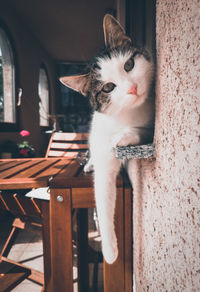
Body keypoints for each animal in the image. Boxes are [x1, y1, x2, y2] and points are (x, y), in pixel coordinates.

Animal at [59, 14, 155, 264]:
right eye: (108, 87)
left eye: (129, 65)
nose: (132, 88)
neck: (129, 113)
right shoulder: (104, 157)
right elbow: (103, 196)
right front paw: (110, 251)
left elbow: (142, 131)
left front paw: (124, 136)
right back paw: (89, 164)